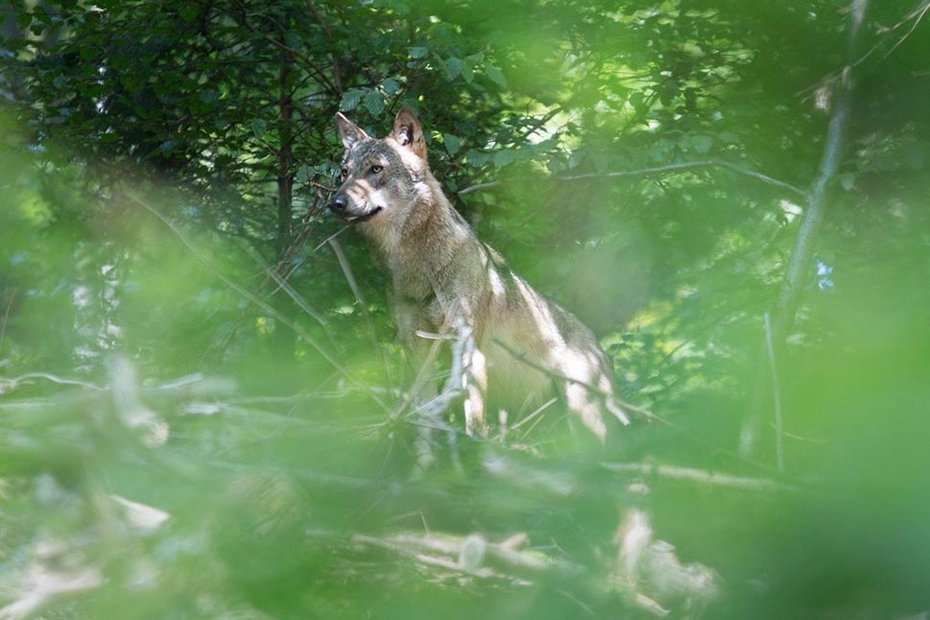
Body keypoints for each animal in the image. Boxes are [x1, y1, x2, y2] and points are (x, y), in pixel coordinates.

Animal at [328, 108, 632, 440]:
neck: (420, 268)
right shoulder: (416, 346)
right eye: (344, 172)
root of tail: (599, 349)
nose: (335, 203)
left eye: (375, 169)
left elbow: (473, 420)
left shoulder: (468, 345)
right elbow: (423, 413)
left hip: (581, 415)